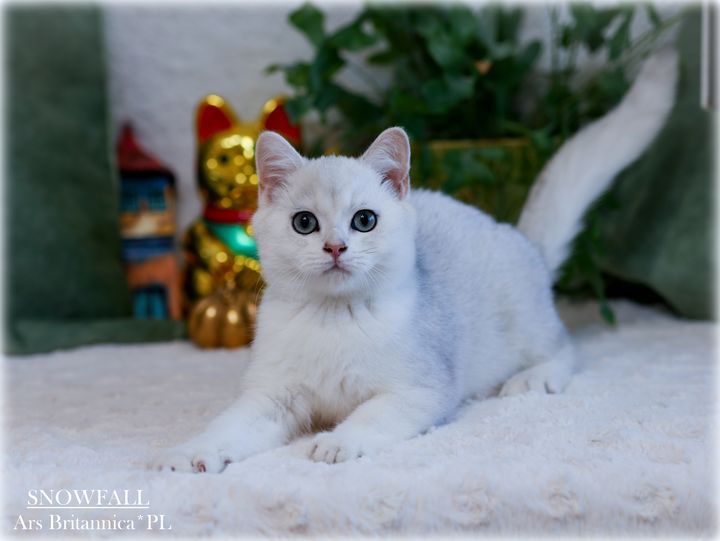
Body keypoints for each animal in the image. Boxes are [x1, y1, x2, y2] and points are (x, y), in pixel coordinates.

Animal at [151, 50, 677, 472]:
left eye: (364, 220)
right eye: (304, 223)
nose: (336, 247)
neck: (333, 320)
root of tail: (518, 237)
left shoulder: (419, 389)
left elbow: (370, 414)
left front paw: (337, 442)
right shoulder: (270, 395)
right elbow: (230, 425)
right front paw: (192, 451)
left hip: (525, 326)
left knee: (565, 348)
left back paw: (534, 378)